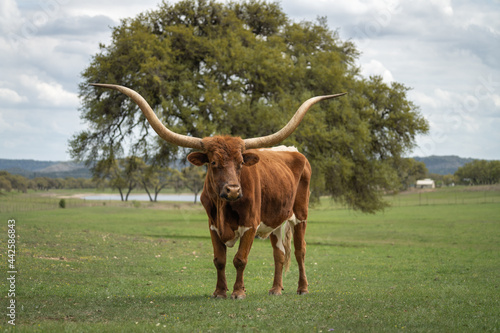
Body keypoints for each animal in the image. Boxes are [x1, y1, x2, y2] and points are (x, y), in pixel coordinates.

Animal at [92, 83, 346, 298]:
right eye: (213, 162)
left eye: (241, 163)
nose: (233, 190)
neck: (225, 205)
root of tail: (292, 150)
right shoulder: (213, 225)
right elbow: (219, 260)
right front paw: (219, 292)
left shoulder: (251, 224)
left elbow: (240, 259)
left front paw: (238, 292)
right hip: (276, 221)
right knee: (280, 253)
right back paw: (275, 289)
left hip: (301, 214)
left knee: (301, 250)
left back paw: (302, 288)